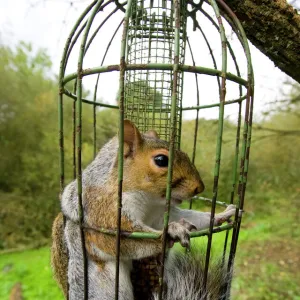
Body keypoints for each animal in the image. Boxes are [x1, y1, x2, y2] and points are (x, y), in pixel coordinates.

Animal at [51, 119, 237, 300]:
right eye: (161, 160)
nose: (199, 188)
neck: (148, 201)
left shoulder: (159, 214)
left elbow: (190, 217)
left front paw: (220, 215)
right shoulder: (103, 210)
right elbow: (127, 239)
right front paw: (172, 231)